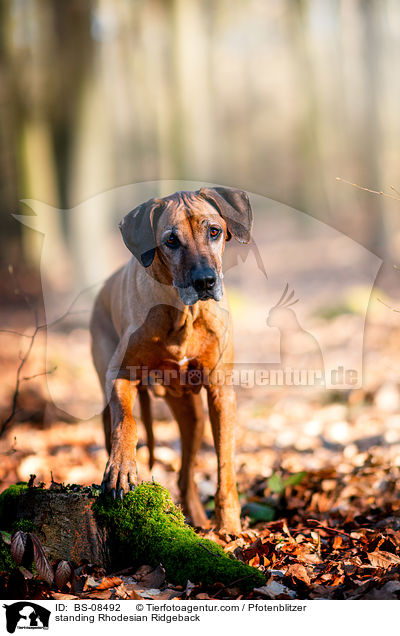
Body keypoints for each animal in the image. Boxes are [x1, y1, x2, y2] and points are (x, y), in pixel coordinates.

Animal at [90, 186, 253, 536]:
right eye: (171, 241)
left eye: (214, 231)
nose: (204, 281)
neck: (183, 314)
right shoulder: (119, 374)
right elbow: (127, 422)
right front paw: (121, 468)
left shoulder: (221, 392)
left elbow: (225, 463)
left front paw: (229, 525)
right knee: (112, 422)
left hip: (193, 415)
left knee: (185, 474)